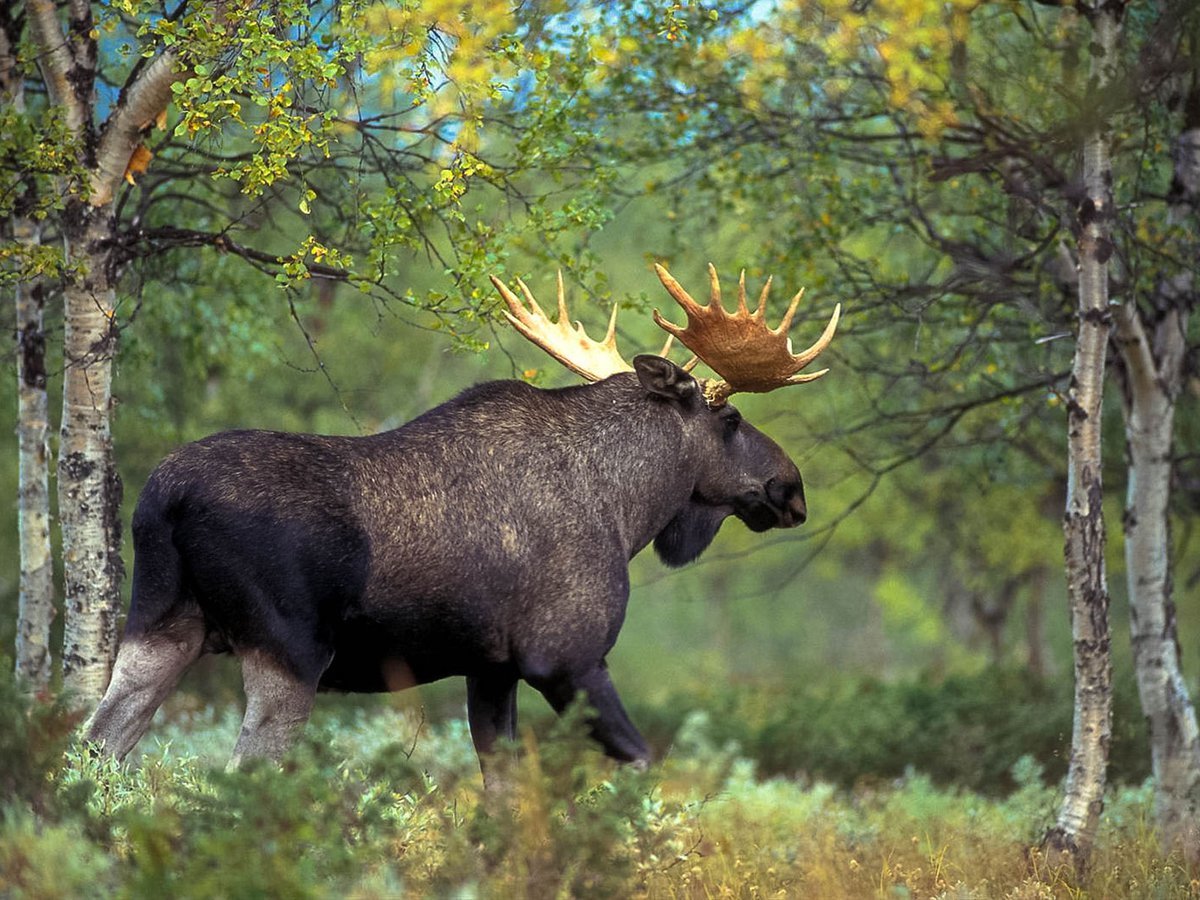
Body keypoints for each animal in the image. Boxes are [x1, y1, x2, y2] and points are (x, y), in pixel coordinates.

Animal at [82, 263, 840, 780]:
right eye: (731, 418)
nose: (792, 487)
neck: (629, 508)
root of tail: (162, 500)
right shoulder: (566, 655)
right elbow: (641, 765)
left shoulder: (492, 668)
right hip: (288, 650)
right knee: (243, 771)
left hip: (161, 625)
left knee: (97, 745)